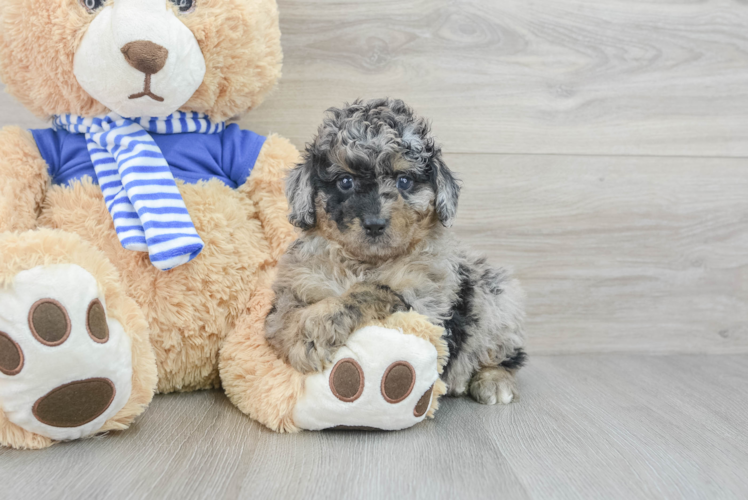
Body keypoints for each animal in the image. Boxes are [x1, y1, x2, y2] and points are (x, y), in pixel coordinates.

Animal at [266, 98, 528, 406]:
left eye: (404, 181)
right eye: (345, 182)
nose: (375, 224)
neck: (365, 262)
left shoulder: (426, 304)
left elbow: (371, 290)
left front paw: (315, 332)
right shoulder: (294, 287)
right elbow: (285, 317)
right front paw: (299, 338)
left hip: (496, 299)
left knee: (505, 354)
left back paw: (494, 381)